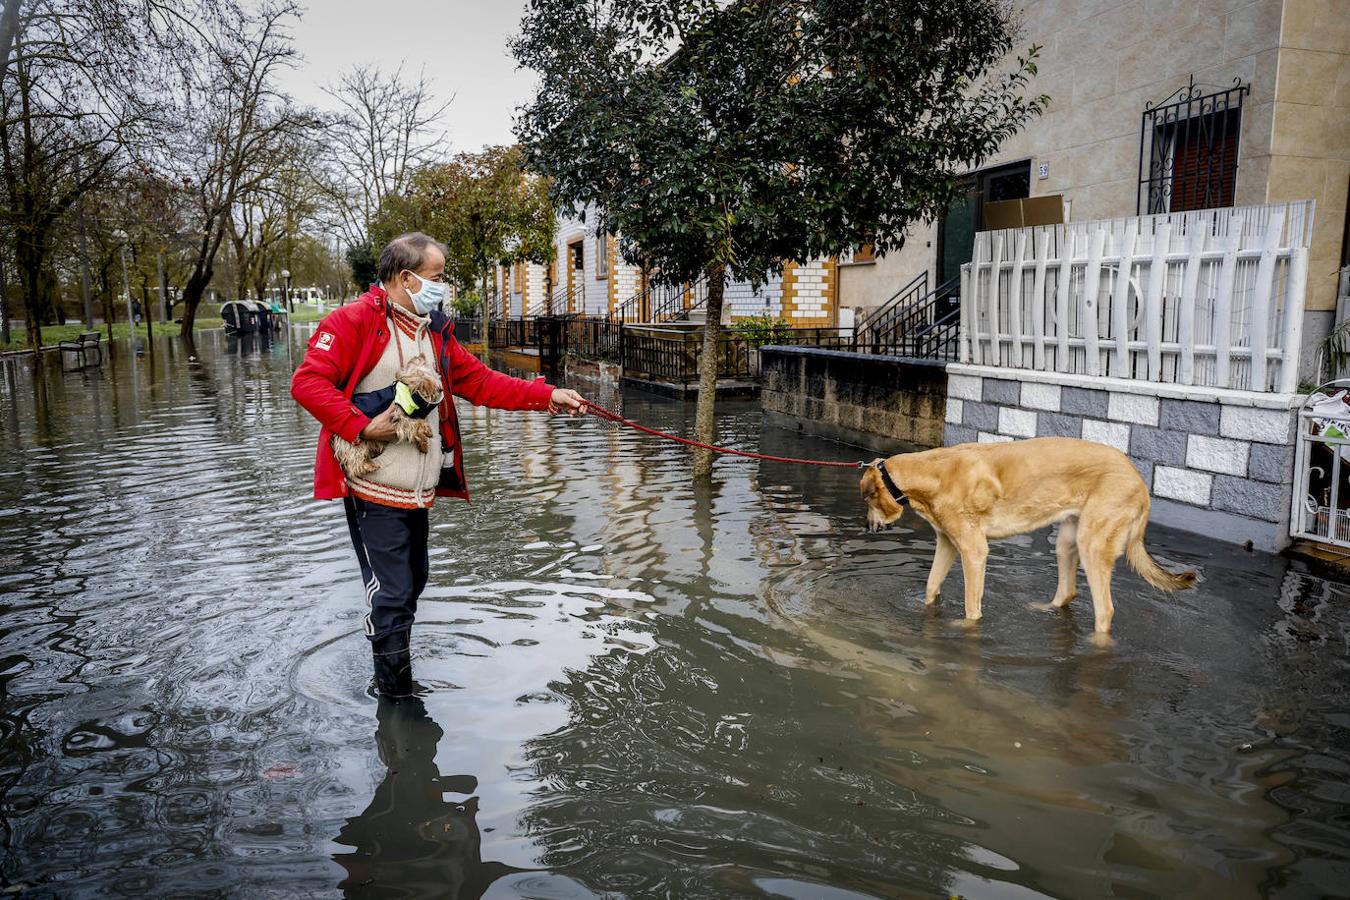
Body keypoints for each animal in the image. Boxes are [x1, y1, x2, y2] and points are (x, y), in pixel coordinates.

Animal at [858, 437, 1198, 639]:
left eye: (867, 500)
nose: (869, 527)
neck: (934, 474)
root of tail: (1139, 480)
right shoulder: (947, 543)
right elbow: (931, 587)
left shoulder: (974, 551)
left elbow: (971, 607)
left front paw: (966, 627)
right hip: (1067, 542)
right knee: (1068, 592)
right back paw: (1045, 608)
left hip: (1093, 546)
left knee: (1105, 610)